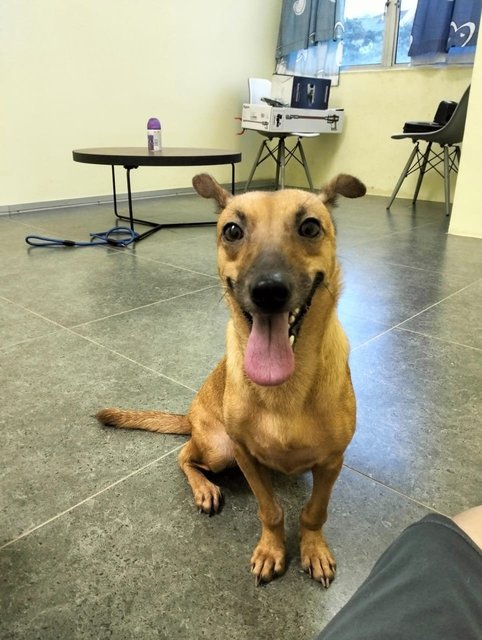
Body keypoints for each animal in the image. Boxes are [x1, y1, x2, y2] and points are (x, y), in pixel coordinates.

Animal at [97, 172, 366, 588]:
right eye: (233, 231)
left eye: (309, 227)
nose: (268, 291)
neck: (284, 388)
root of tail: (189, 417)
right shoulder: (244, 454)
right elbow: (270, 510)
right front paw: (272, 550)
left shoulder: (331, 462)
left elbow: (314, 512)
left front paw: (313, 548)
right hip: (218, 449)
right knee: (183, 456)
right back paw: (205, 488)